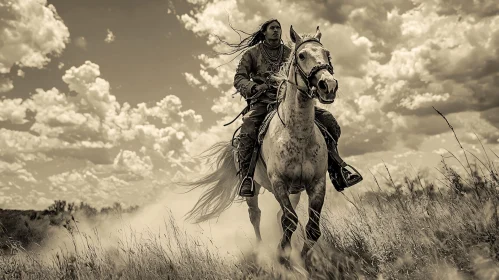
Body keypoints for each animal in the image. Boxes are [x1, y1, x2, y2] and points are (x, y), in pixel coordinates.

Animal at [185, 26, 340, 270]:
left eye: (327, 54)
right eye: (302, 55)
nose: (329, 85)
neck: (298, 135)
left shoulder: (317, 183)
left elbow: (312, 228)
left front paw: (304, 258)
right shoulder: (278, 183)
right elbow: (290, 220)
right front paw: (282, 256)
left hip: (295, 191)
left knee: (278, 215)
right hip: (253, 187)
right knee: (255, 215)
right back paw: (260, 250)